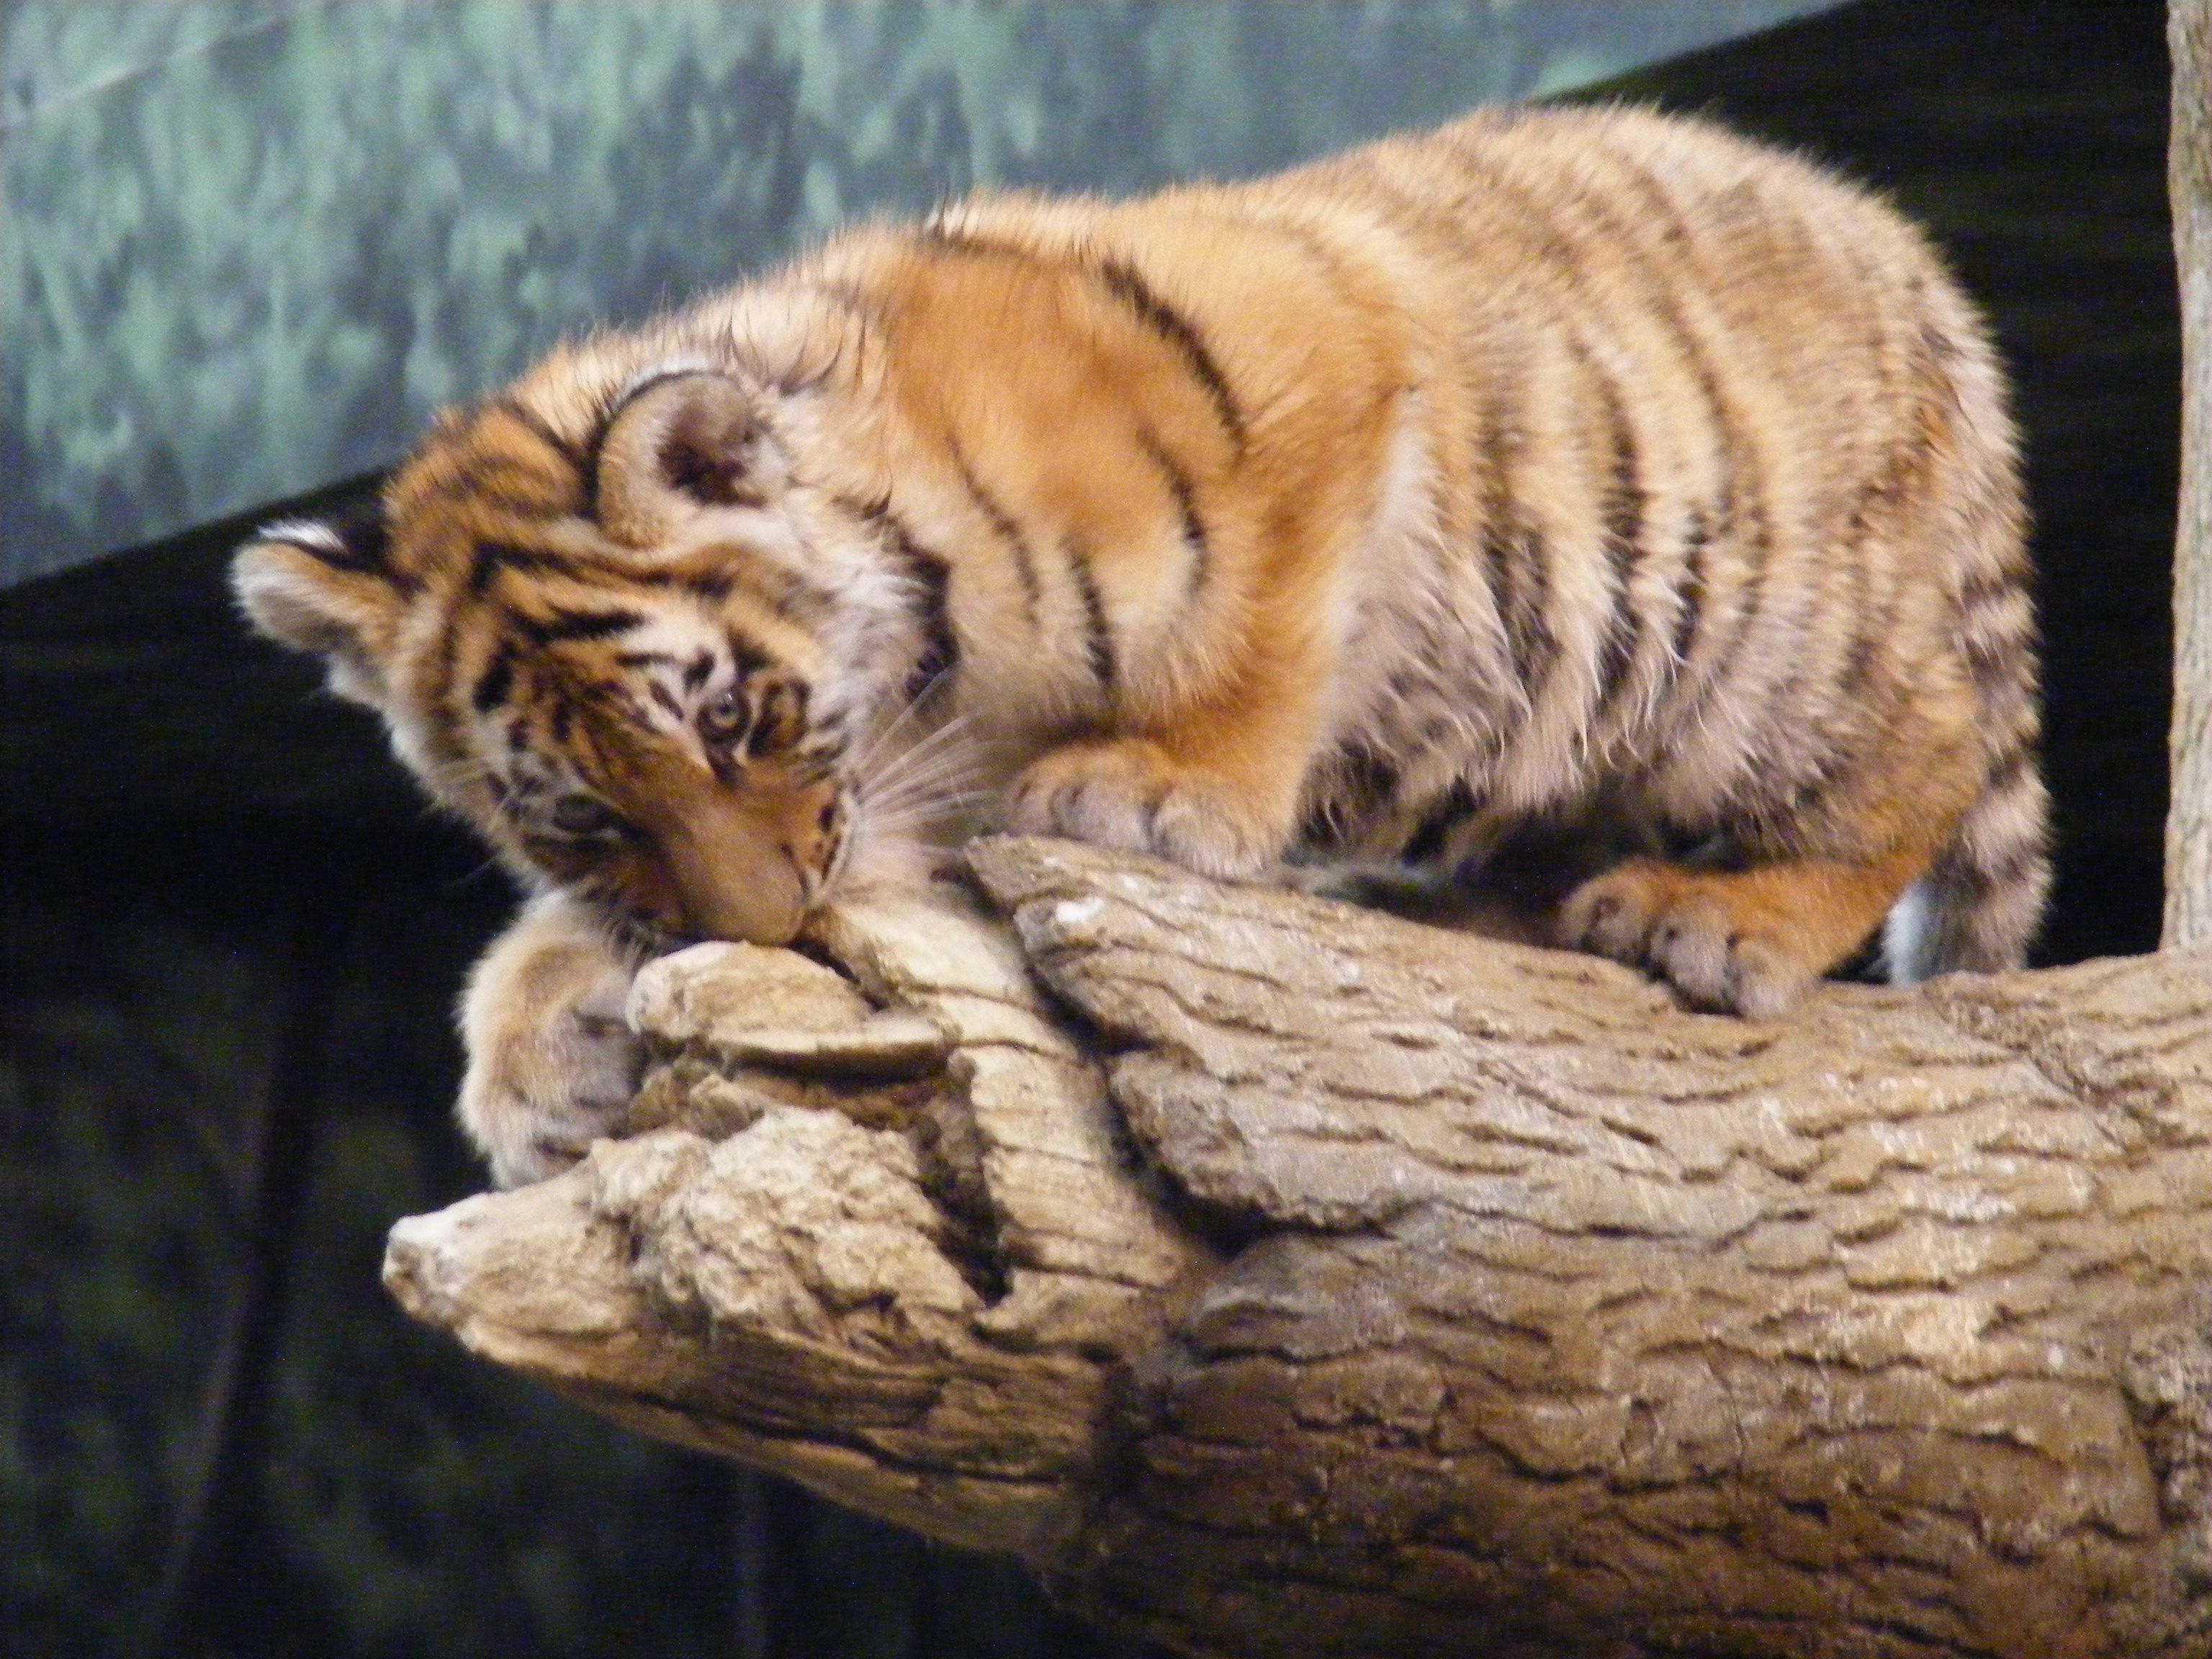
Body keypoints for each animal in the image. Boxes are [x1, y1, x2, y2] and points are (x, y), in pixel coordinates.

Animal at [232, 104, 2047, 1189]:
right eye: (585, 812)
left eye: (736, 723)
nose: (768, 924)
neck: (935, 662)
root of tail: (1923, 276)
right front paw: (541, 1041)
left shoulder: (1318, 342)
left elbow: (1254, 630)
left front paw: (1165, 790)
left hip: (1752, 632)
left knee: (1916, 759)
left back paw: (1721, 917)